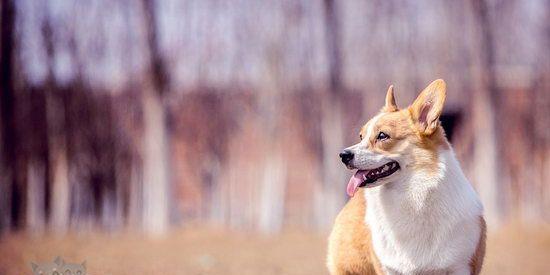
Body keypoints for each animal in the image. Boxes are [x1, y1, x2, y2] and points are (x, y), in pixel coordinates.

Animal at [328, 80, 488, 275]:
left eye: (383, 136)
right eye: (361, 137)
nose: (343, 155)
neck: (411, 194)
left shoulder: (459, 267)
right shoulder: (390, 269)